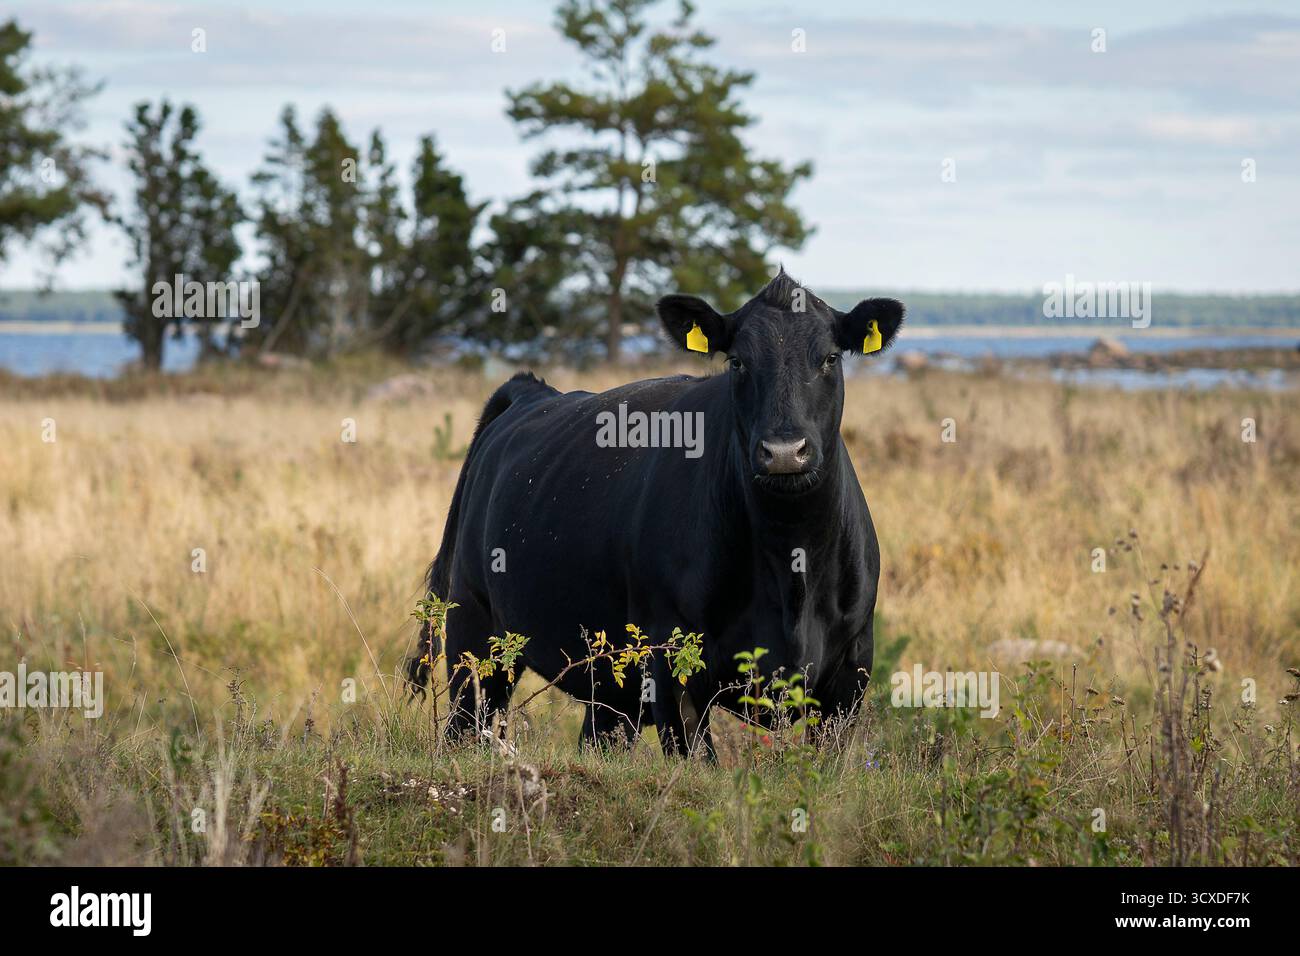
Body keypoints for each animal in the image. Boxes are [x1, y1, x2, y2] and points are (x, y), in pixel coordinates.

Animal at [405, 269, 904, 756]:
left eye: (831, 359)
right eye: (737, 362)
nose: (784, 452)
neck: (789, 565)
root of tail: (531, 391)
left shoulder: (851, 669)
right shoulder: (670, 663)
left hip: (608, 687)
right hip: (473, 631)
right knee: (465, 727)